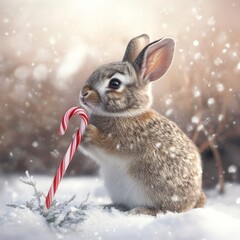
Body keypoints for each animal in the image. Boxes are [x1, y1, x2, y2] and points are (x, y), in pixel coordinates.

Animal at [79, 34, 206, 216]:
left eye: (114, 83)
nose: (84, 93)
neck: (125, 113)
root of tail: (194, 200)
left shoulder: (126, 142)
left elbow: (108, 145)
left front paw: (88, 132)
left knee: (164, 210)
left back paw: (141, 211)